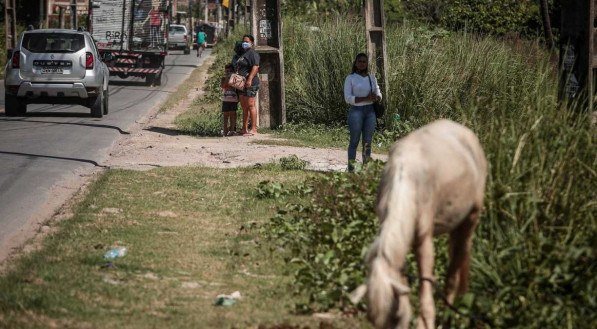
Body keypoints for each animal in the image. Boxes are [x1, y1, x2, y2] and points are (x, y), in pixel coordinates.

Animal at [352, 119, 486, 328]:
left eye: (396, 316)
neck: (405, 178)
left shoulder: (424, 238)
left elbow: (426, 286)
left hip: (471, 220)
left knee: (454, 271)